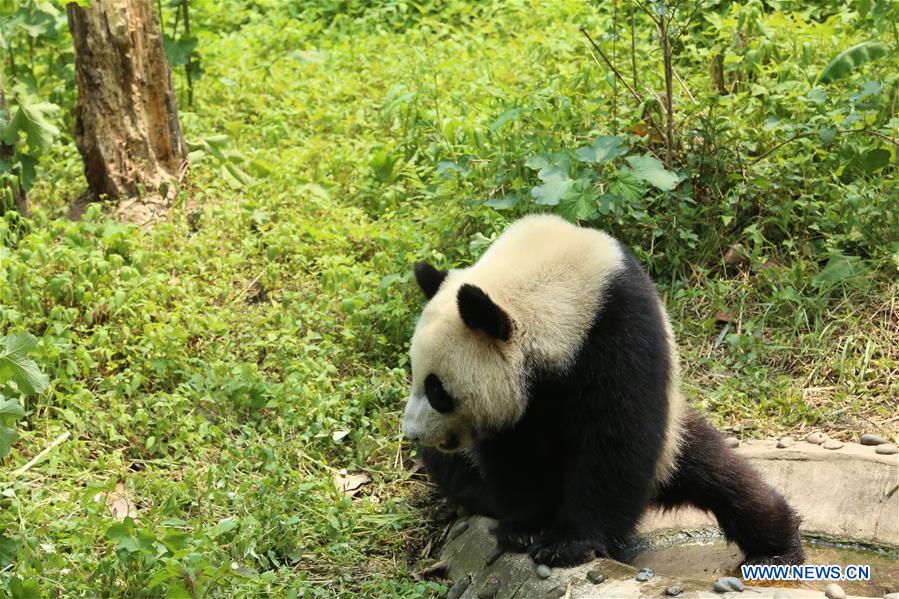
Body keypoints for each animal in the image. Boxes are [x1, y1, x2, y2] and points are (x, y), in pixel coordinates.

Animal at [402, 214, 804, 568]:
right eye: (415, 375)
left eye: (437, 390)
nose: (411, 433)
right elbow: (512, 453)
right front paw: (526, 528)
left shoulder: (618, 328)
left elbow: (617, 438)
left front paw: (569, 544)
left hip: (671, 440)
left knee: (722, 478)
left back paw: (776, 547)